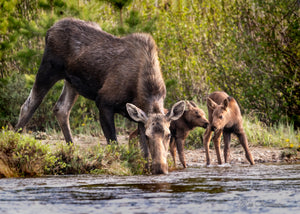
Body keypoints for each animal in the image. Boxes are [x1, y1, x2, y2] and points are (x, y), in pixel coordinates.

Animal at [16, 18, 186, 175]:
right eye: (148, 135)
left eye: (168, 134)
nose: (161, 168)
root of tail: (49, 30)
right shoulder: (104, 102)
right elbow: (114, 145)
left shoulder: (140, 116)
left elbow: (144, 153)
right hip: (49, 68)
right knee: (29, 105)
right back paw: (14, 144)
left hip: (71, 82)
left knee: (61, 109)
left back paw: (72, 152)